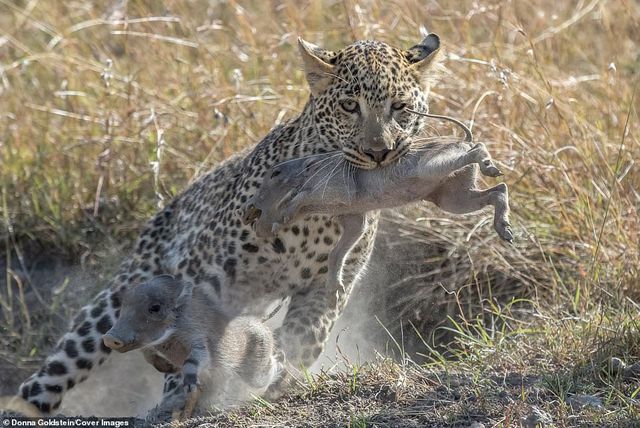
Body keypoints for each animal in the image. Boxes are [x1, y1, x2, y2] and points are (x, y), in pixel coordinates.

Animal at [17, 34, 442, 418]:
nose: (379, 152)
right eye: (350, 106)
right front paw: (182, 394)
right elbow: (187, 334)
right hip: (114, 300)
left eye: (400, 107)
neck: (317, 215)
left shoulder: (326, 289)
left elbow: (300, 339)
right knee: (59, 368)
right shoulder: (206, 277)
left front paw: (271, 378)